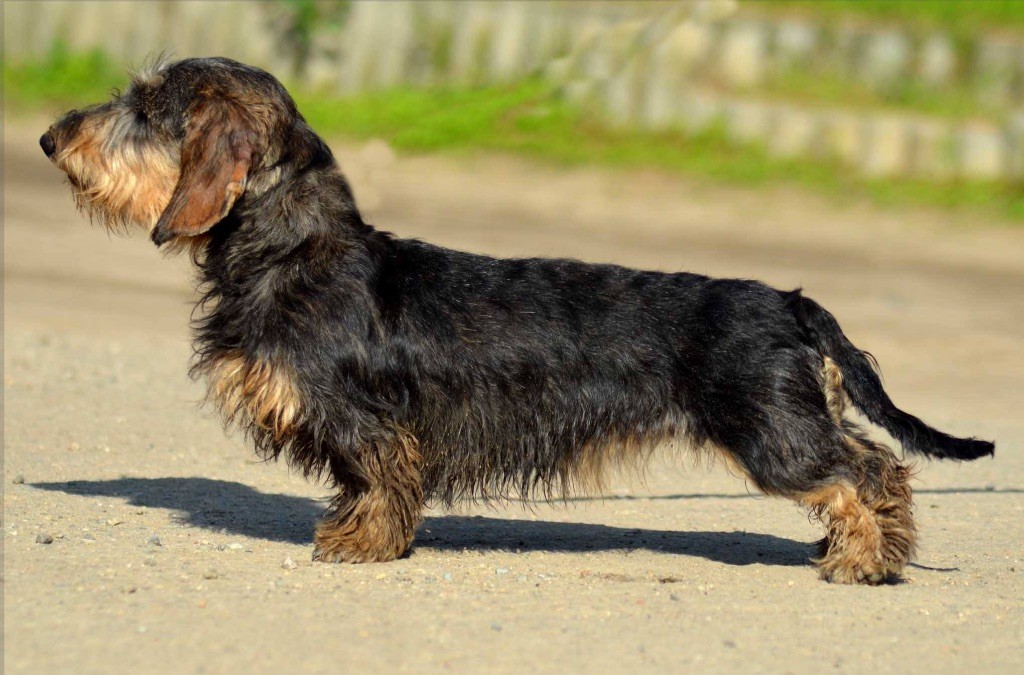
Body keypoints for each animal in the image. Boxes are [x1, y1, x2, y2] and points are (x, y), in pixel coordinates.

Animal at [39, 59, 991, 585]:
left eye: (145, 108)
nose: (49, 139)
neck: (294, 250)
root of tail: (791, 300)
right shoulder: (362, 428)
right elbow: (363, 484)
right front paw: (354, 533)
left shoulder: (366, 420)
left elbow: (380, 481)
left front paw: (363, 546)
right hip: (793, 420)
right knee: (875, 464)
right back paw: (875, 549)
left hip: (773, 435)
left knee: (869, 470)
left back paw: (864, 559)